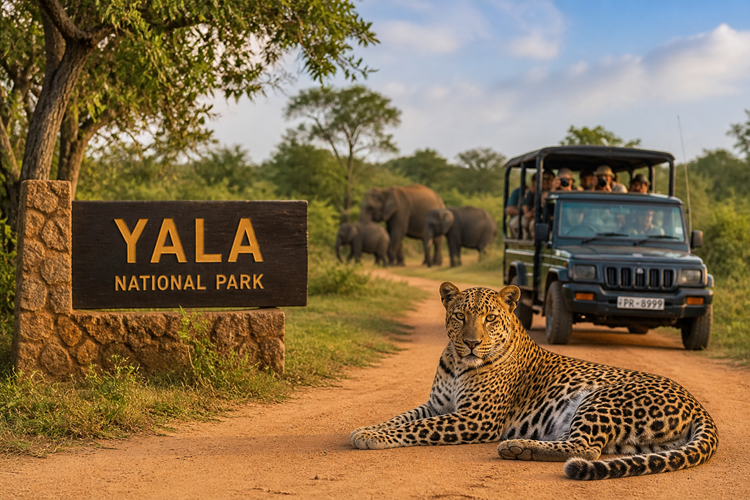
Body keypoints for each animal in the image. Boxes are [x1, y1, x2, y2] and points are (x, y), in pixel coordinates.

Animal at [350, 282, 718, 480]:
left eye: (490, 318)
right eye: (459, 316)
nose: (471, 342)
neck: (457, 362)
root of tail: (697, 403)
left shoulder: (477, 418)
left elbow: (417, 428)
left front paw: (371, 437)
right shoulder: (435, 405)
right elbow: (402, 418)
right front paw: (368, 429)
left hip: (601, 399)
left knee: (587, 448)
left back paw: (516, 447)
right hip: (639, 441)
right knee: (592, 447)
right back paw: (522, 446)